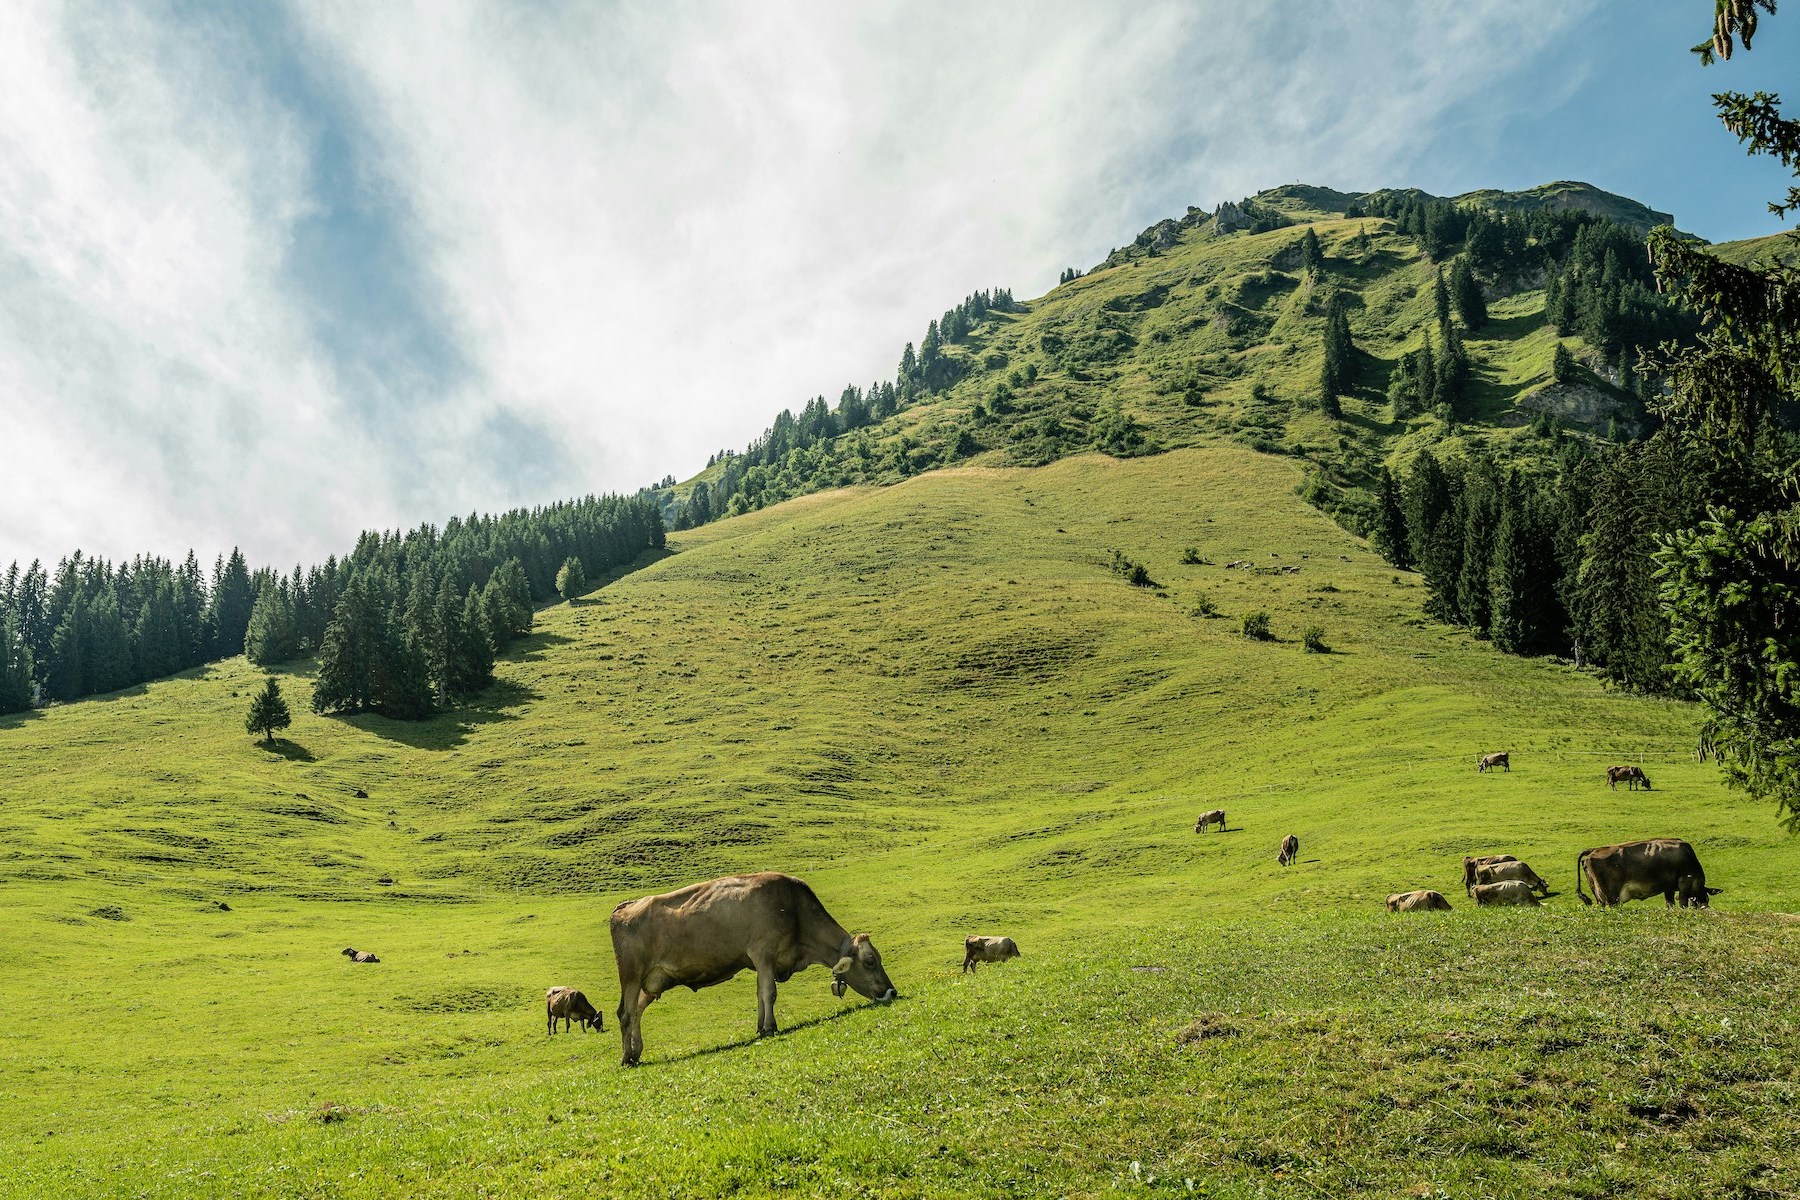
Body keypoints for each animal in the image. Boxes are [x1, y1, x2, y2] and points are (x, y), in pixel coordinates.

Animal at [609, 872, 897, 1067]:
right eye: (870, 961)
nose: (892, 992)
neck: (794, 911)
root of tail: (625, 906)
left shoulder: (761, 962)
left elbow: (760, 994)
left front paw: (761, 1026)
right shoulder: (764, 954)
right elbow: (769, 993)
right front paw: (770, 1027)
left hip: (654, 980)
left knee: (637, 1011)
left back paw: (636, 1051)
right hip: (631, 974)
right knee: (626, 1012)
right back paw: (627, 1057)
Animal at [1576, 839, 1720, 908]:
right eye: (1706, 898)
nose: (1705, 908)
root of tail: (1594, 850)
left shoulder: (1669, 888)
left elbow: (1670, 904)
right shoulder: (1684, 882)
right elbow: (1683, 904)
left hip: (1598, 895)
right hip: (1611, 897)